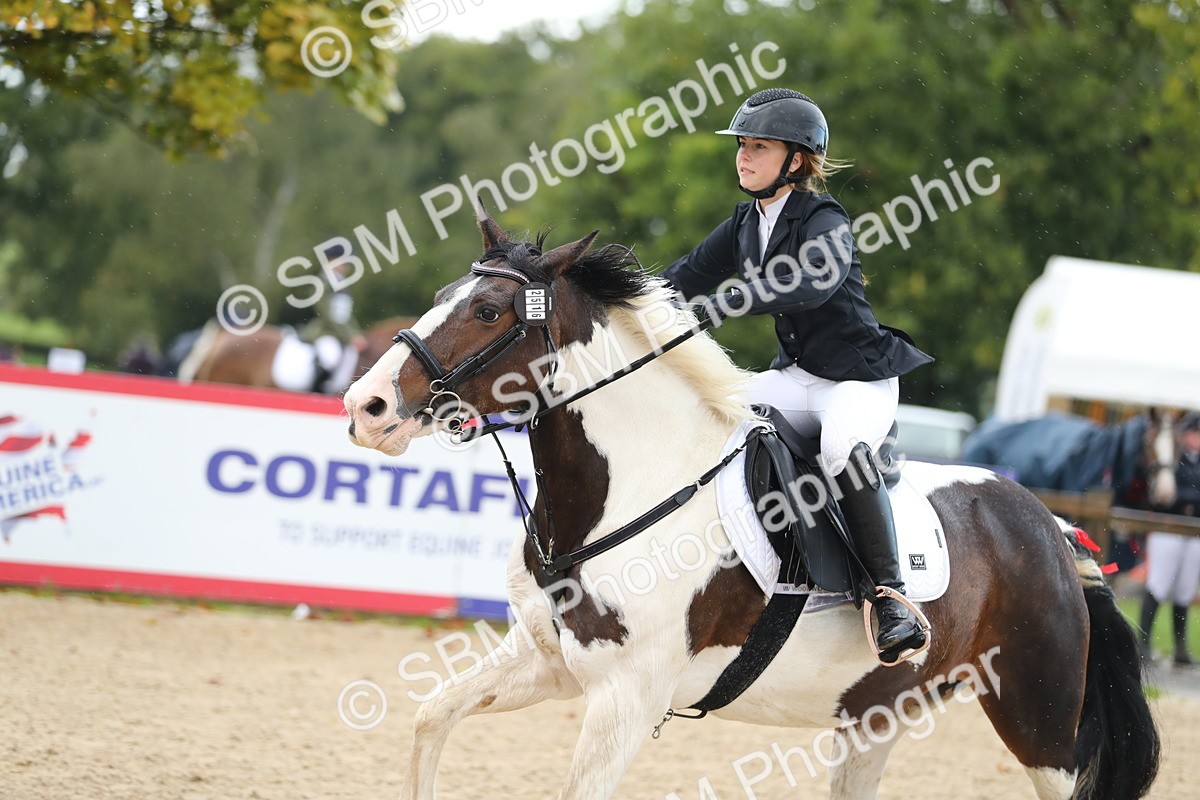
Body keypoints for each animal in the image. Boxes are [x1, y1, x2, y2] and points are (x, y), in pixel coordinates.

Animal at [342, 210, 1160, 800]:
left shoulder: (625, 699)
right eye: (444, 299)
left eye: (486, 311)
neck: (631, 485)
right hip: (878, 714)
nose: (365, 406)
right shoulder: (549, 665)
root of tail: (1052, 529)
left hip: (1039, 721)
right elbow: (431, 717)